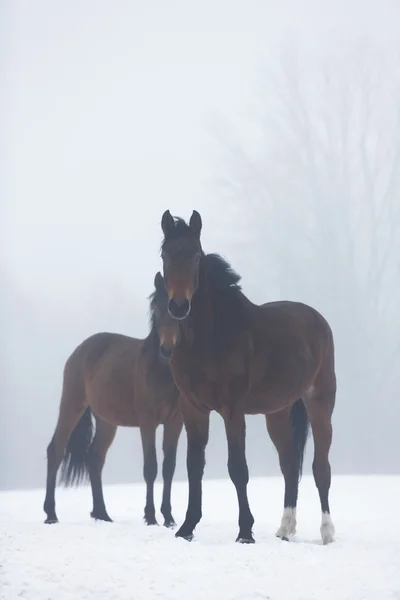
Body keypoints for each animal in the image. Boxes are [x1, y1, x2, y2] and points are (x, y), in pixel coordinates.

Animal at [43, 274, 182, 528]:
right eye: (157, 310)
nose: (167, 350)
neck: (161, 370)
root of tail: (80, 350)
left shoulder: (175, 422)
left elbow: (169, 467)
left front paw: (168, 518)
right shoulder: (147, 422)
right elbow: (151, 467)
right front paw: (150, 517)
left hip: (106, 421)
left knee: (95, 459)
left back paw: (102, 513)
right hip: (72, 405)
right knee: (56, 450)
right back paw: (51, 514)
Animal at [159, 210, 338, 544]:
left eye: (194, 255)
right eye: (165, 254)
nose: (177, 306)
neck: (211, 338)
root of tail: (318, 320)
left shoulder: (232, 410)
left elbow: (238, 469)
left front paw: (245, 531)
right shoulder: (194, 408)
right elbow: (193, 466)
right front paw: (187, 527)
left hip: (320, 404)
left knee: (321, 468)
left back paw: (327, 532)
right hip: (277, 413)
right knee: (290, 465)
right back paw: (285, 528)